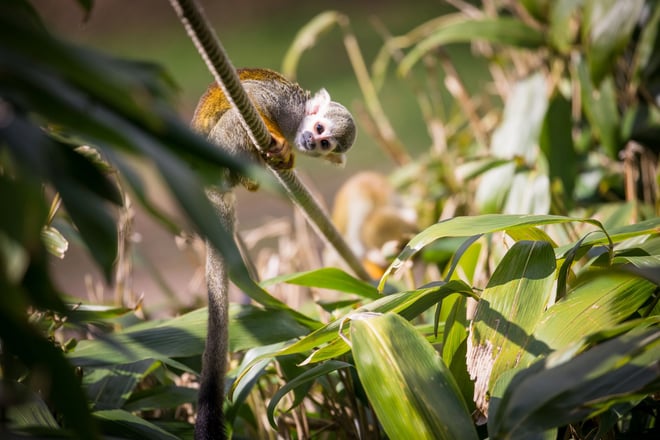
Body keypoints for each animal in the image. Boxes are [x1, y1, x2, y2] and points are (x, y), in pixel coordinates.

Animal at [191, 68, 356, 440]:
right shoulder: (286, 106)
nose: (312, 142)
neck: (297, 124)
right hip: (223, 142)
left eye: (326, 143)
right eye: (320, 129)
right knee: (235, 118)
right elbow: (255, 97)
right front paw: (279, 139)